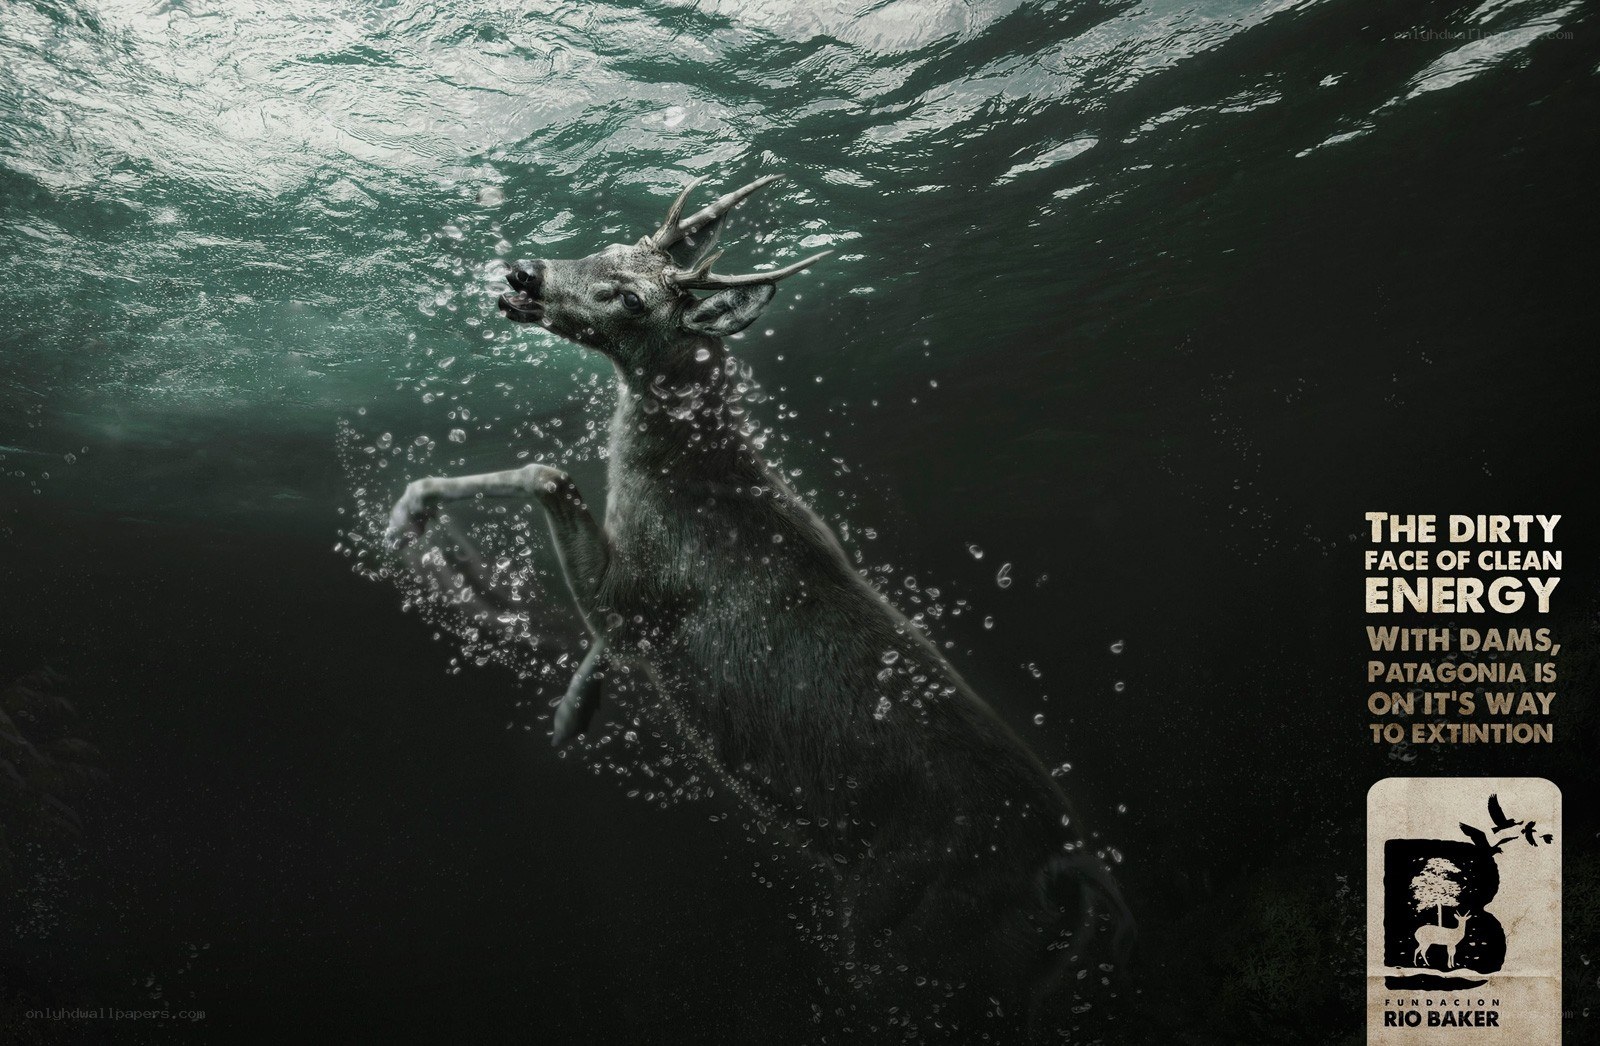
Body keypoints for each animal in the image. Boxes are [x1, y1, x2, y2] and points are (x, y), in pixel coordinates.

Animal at [384, 173, 1129, 1035]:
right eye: (606, 245)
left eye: (631, 298)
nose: (524, 274)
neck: (694, 472)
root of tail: (1071, 876)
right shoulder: (628, 608)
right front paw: (571, 711)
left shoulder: (638, 600)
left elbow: (546, 474)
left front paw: (410, 515)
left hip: (915, 942)